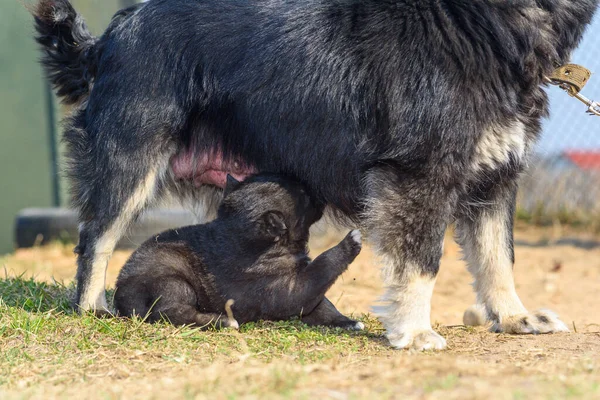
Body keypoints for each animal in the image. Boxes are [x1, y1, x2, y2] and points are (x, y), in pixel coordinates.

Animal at [114, 173, 364, 330]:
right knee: (169, 312)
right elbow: (321, 268)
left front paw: (347, 322)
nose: (320, 191)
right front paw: (350, 241)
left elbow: (324, 304)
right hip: (172, 281)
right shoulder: (290, 289)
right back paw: (223, 321)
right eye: (303, 194)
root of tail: (120, 297)